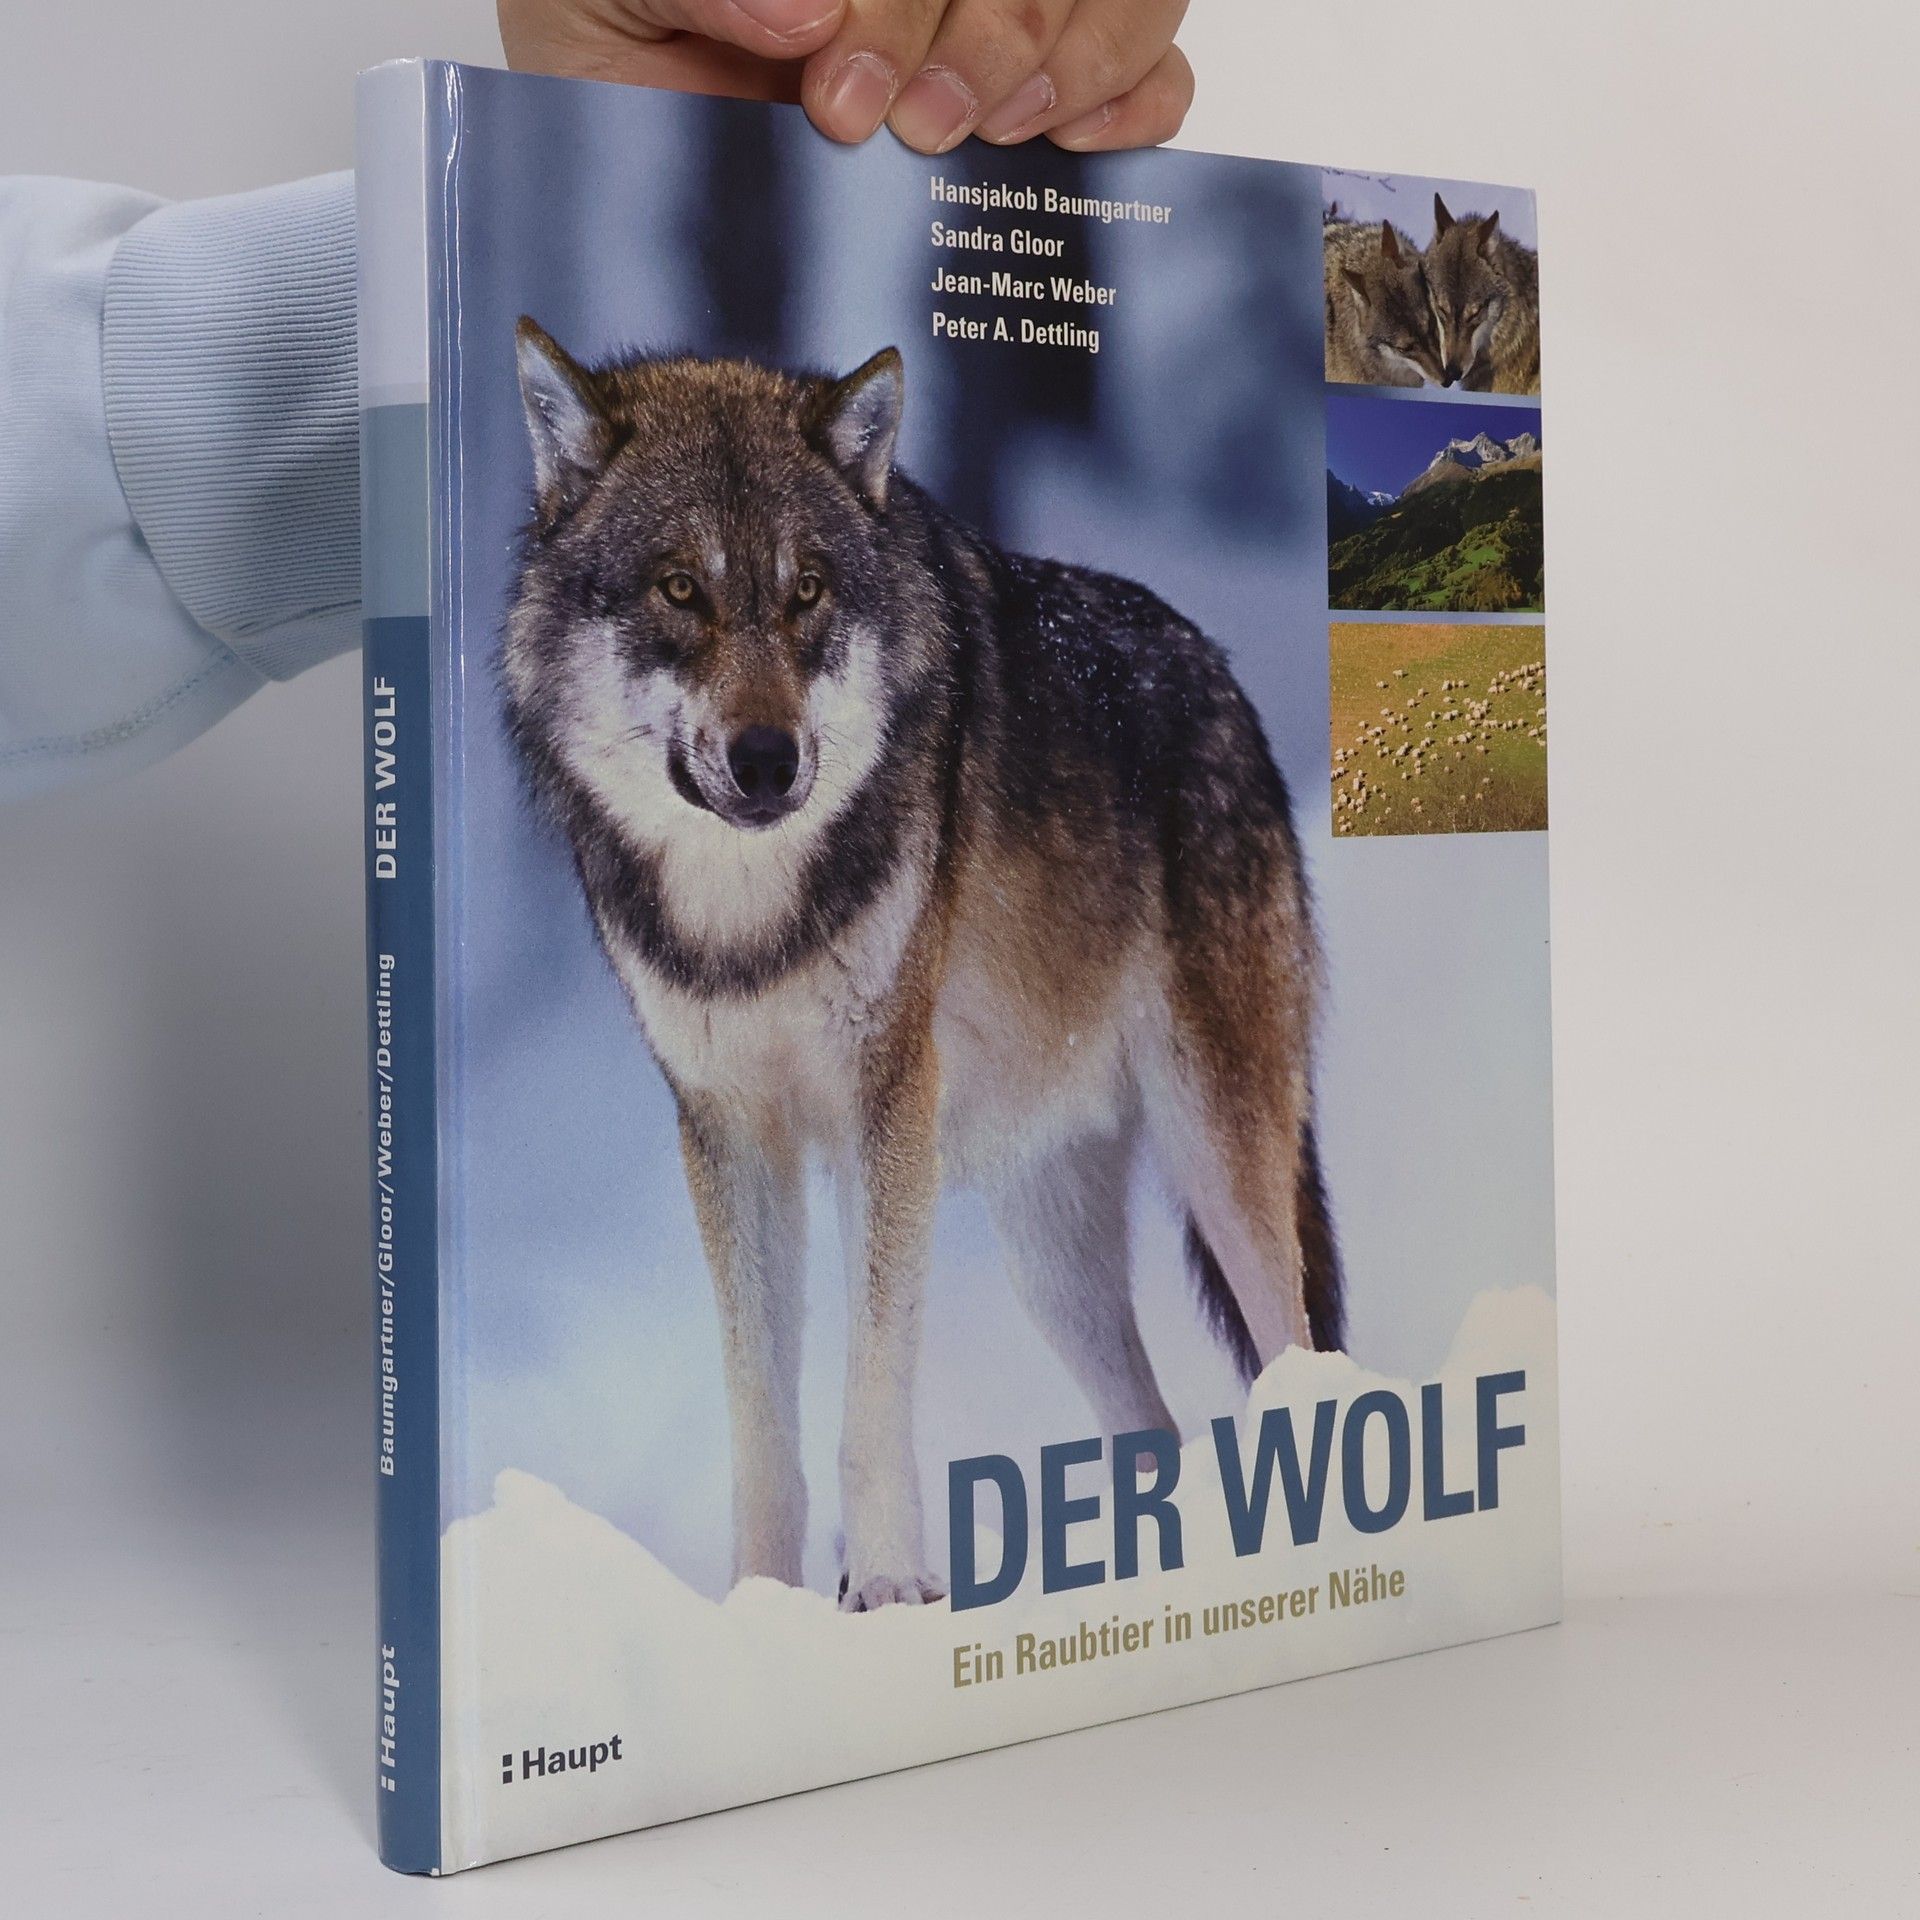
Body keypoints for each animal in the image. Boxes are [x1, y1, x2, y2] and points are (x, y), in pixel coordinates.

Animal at [502, 321, 1343, 1611]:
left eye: (806, 590)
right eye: (680, 588)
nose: (766, 759)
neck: (752, 919)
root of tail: (1225, 683)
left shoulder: (882, 1105)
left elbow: (868, 1391)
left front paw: (892, 1588)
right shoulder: (731, 1135)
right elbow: (764, 1428)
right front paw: (761, 1610)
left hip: (1219, 1155)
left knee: (1300, 1356)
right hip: (1049, 1252)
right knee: (1151, 1428)